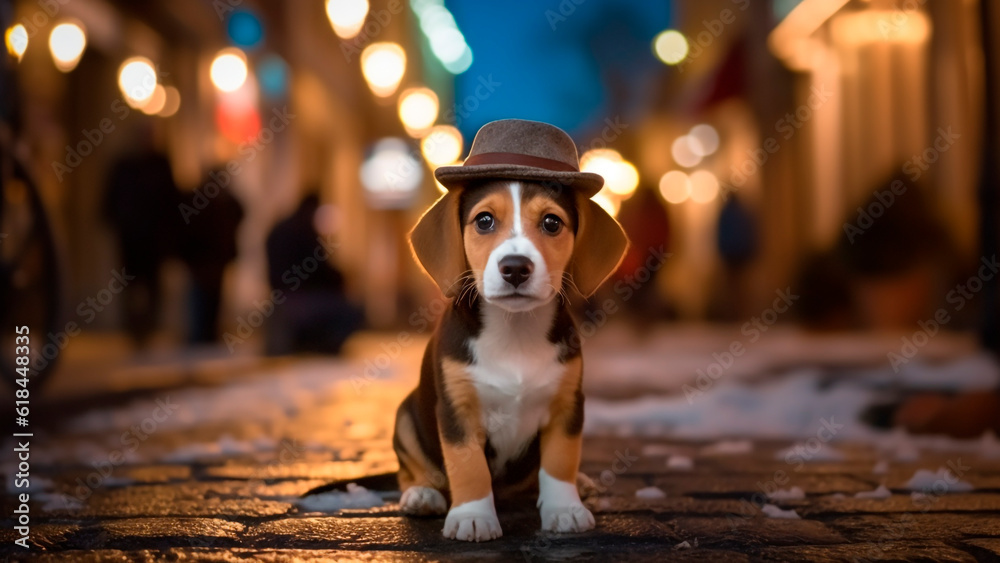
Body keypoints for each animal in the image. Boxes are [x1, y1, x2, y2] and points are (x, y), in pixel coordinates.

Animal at [396, 177, 624, 540]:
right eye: (484, 221)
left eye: (552, 223)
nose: (515, 267)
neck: (514, 328)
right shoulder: (457, 411)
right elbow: (469, 466)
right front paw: (473, 516)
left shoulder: (568, 406)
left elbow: (560, 461)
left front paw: (565, 510)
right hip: (404, 417)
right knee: (409, 472)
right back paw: (421, 495)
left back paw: (581, 484)